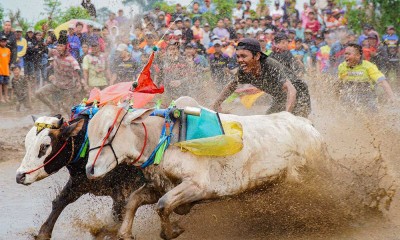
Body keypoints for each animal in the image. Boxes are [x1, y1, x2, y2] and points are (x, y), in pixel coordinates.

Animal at [16, 113, 147, 239]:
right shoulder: (79, 183)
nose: (19, 176)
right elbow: (59, 202)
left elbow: (117, 217)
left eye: (45, 146)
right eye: (27, 143)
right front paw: (43, 233)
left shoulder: (122, 192)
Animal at [86, 96, 326, 239]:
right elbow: (133, 201)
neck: (164, 138)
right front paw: (125, 233)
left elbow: (163, 205)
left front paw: (172, 230)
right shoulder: (158, 186)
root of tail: (308, 125)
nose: (89, 169)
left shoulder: (198, 186)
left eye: (109, 129)